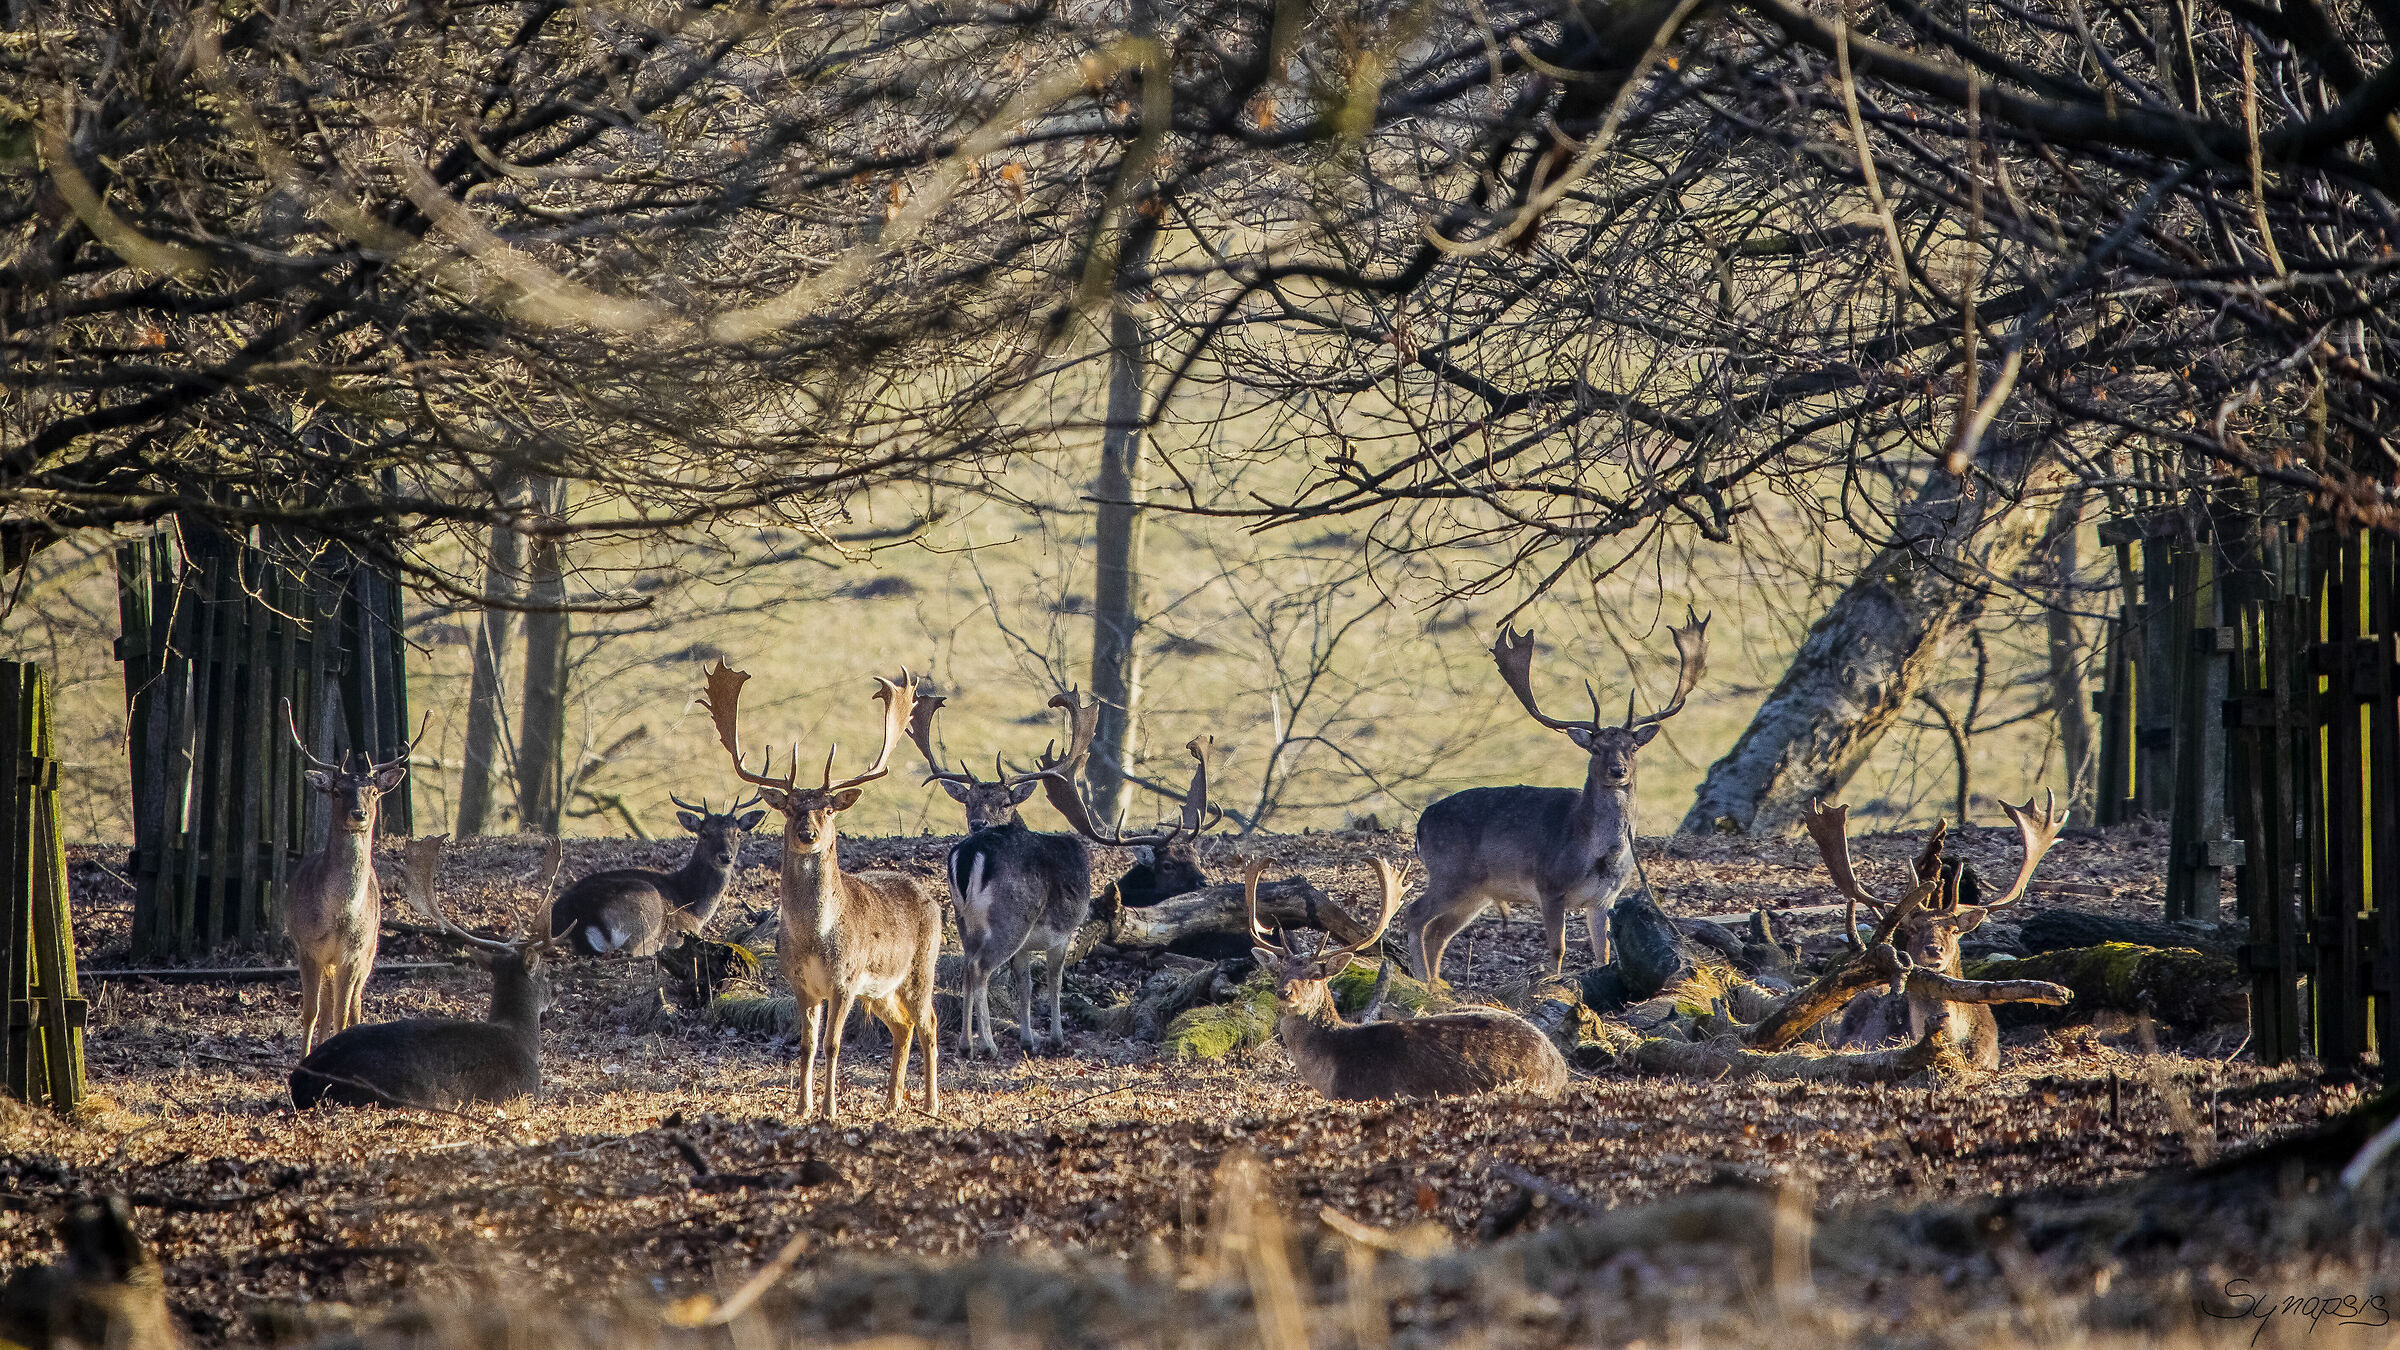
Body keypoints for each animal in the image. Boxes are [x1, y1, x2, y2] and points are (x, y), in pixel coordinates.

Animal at [281, 698, 424, 1053]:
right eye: (336, 791)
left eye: (373, 792)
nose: (358, 814)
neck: (338, 915)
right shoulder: (307, 947)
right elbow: (311, 1011)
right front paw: (304, 1057)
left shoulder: (352, 954)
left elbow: (342, 1013)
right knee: (328, 1004)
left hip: (370, 950)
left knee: (353, 1004)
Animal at [549, 793, 765, 956]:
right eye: (704, 834)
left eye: (738, 834)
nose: (725, 857)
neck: (696, 907)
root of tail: (582, 917)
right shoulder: (681, 934)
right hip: (645, 906)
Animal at [700, 661, 940, 1120]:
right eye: (791, 808)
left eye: (827, 809)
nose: (808, 834)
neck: (815, 937)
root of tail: (932, 898)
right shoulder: (799, 982)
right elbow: (807, 1044)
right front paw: (801, 1107)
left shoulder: (845, 979)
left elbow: (832, 1044)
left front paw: (828, 1109)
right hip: (881, 988)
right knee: (902, 1026)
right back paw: (891, 1101)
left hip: (921, 967)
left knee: (929, 1023)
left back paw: (931, 1103)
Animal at [1402, 608, 1709, 984]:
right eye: (1595, 748)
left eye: (1633, 747)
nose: (1618, 771)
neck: (1598, 854)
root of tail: (1420, 825)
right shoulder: (1549, 885)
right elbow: (1557, 947)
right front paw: (1551, 981)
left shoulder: (1605, 900)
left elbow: (1603, 950)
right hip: (1449, 871)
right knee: (1414, 915)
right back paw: (1423, 980)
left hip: (1477, 891)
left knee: (1438, 931)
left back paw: (1437, 985)